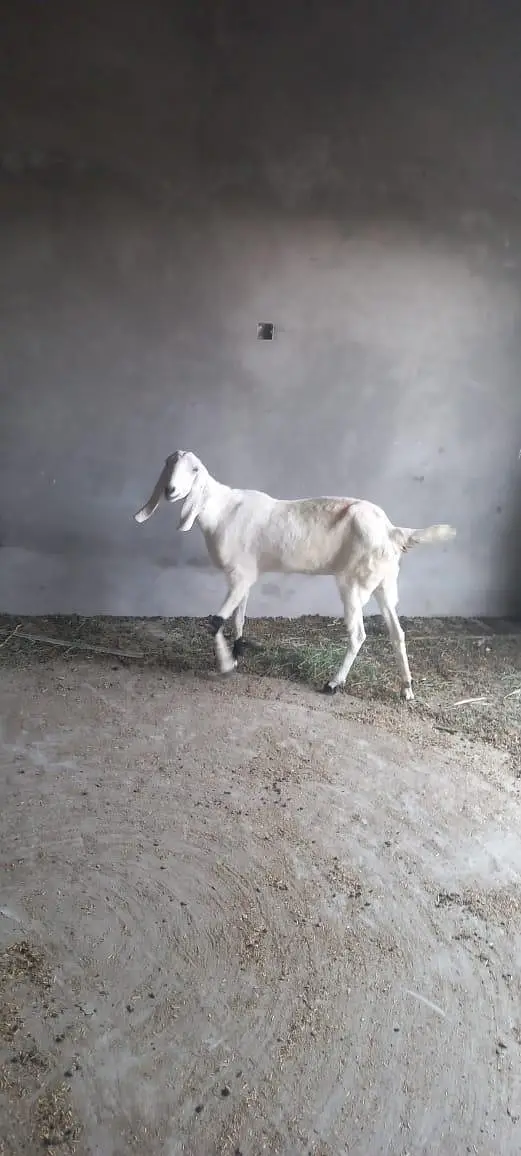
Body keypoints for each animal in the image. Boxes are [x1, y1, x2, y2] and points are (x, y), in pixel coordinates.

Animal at [134, 450, 456, 700]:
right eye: (168, 465)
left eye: (194, 469)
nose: (170, 491)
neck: (222, 510)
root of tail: (392, 531)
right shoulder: (247, 575)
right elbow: (238, 619)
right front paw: (237, 654)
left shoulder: (239, 575)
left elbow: (215, 621)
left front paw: (225, 666)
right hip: (384, 584)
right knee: (397, 633)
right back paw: (407, 689)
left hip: (353, 583)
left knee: (358, 634)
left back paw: (333, 684)